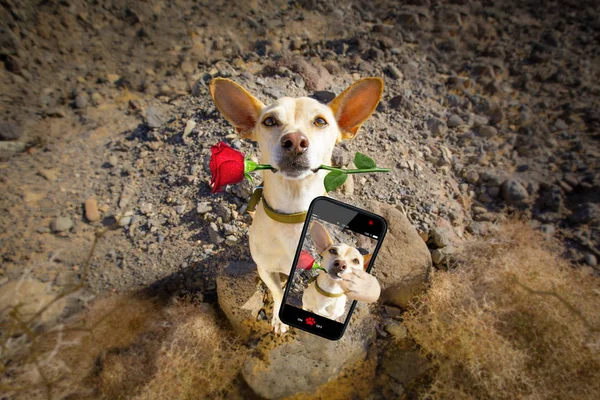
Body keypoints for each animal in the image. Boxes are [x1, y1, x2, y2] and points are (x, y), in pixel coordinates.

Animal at [209, 76, 382, 332]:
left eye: (320, 121)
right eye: (269, 121)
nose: (295, 141)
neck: (293, 208)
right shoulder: (266, 269)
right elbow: (278, 292)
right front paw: (279, 319)